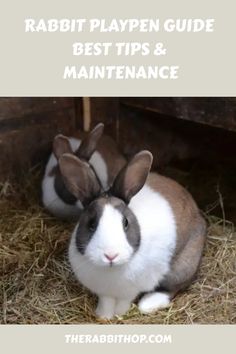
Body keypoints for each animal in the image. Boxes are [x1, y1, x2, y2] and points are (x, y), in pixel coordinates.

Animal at [57, 149, 206, 318]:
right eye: (92, 224)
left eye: (126, 222)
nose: (111, 255)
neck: (111, 270)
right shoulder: (104, 293)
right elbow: (106, 302)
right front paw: (103, 316)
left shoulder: (130, 292)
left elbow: (124, 303)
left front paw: (119, 314)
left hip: (183, 267)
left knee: (172, 288)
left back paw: (148, 304)